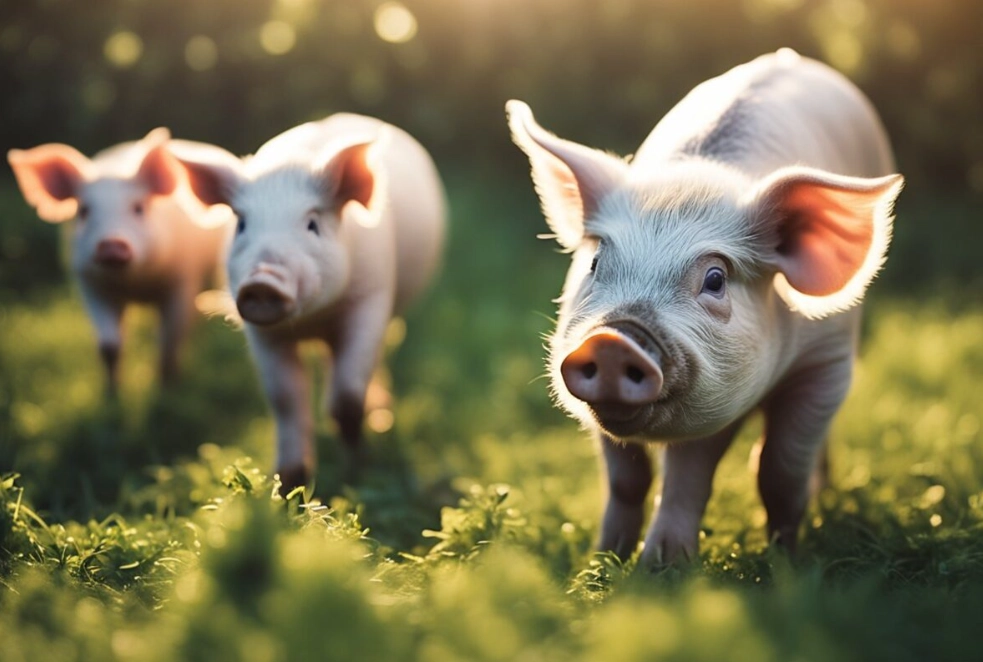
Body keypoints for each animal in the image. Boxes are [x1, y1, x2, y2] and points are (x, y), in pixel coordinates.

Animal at [7, 129, 231, 393]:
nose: (111, 245)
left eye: (139, 208)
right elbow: (109, 344)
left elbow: (169, 338)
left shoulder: (182, 280)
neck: (134, 285)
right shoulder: (89, 284)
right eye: (83, 210)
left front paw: (167, 385)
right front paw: (112, 391)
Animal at [168, 114, 446, 492]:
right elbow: (285, 398)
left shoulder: (370, 300)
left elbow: (347, 396)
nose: (262, 280)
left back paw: (381, 414)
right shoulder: (263, 334)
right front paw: (287, 486)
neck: (313, 318)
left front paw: (357, 470)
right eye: (242, 224)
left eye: (312, 224)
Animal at [507, 49, 903, 567]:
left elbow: (777, 470)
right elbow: (630, 479)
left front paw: (784, 562)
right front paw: (615, 560)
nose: (613, 340)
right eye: (595, 264)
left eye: (715, 280)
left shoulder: (826, 361)